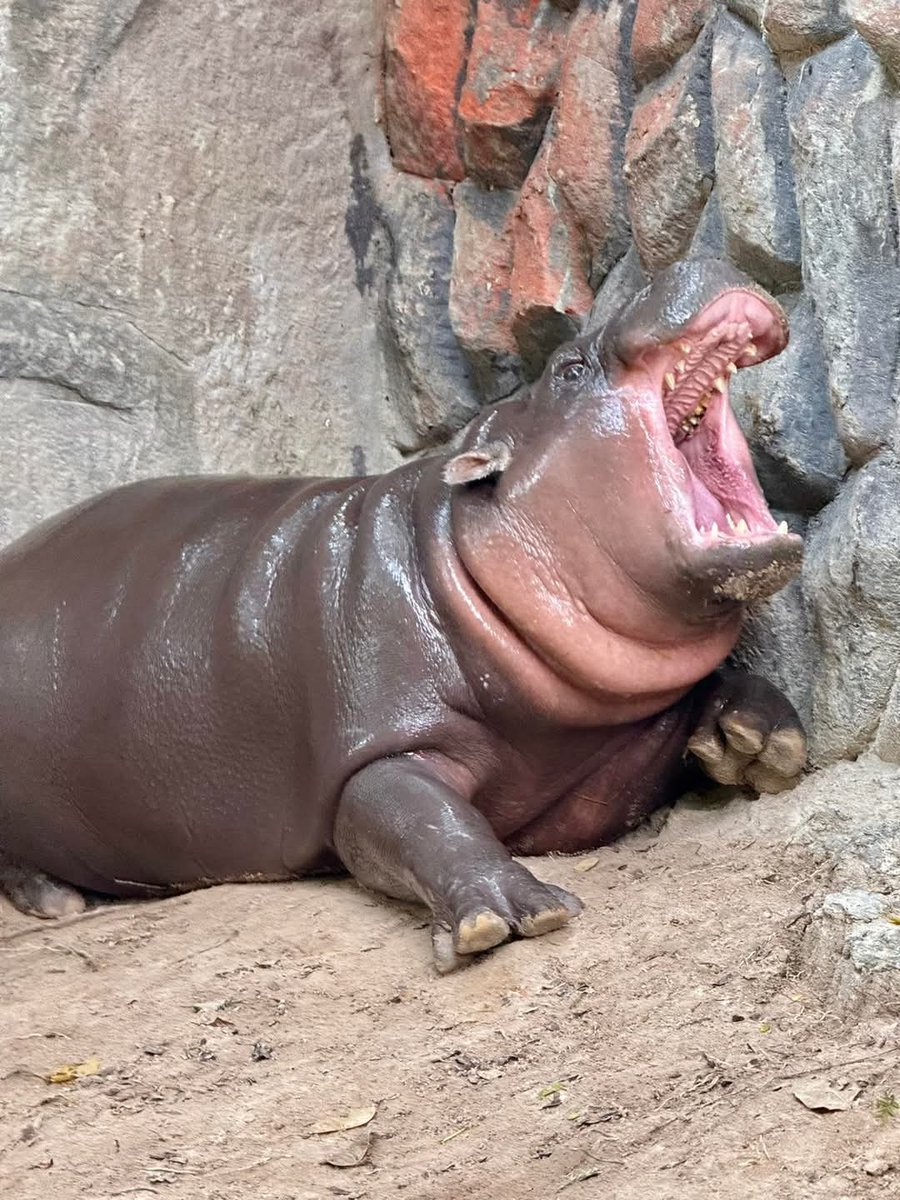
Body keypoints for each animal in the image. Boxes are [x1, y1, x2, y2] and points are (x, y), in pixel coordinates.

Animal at [0, 258, 806, 972]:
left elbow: (709, 700)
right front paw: (512, 911)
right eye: (568, 370)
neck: (452, 558)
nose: (692, 259)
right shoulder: (378, 738)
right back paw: (58, 903)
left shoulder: (611, 756)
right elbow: (420, 816)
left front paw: (756, 742)